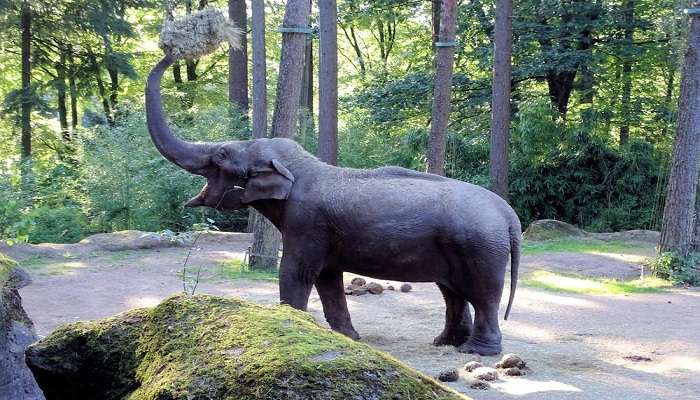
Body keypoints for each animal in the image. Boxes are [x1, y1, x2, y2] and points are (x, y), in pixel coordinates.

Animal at [146, 54, 520, 356]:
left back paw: (476, 352)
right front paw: (349, 338)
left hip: (479, 248)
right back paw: (446, 343)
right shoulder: (323, 232)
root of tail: (509, 216)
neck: (300, 166)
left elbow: (296, 271)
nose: (173, 49)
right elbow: (327, 277)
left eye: (222, 155)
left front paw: (293, 325)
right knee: (453, 292)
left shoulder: (306, 222)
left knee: (482, 295)